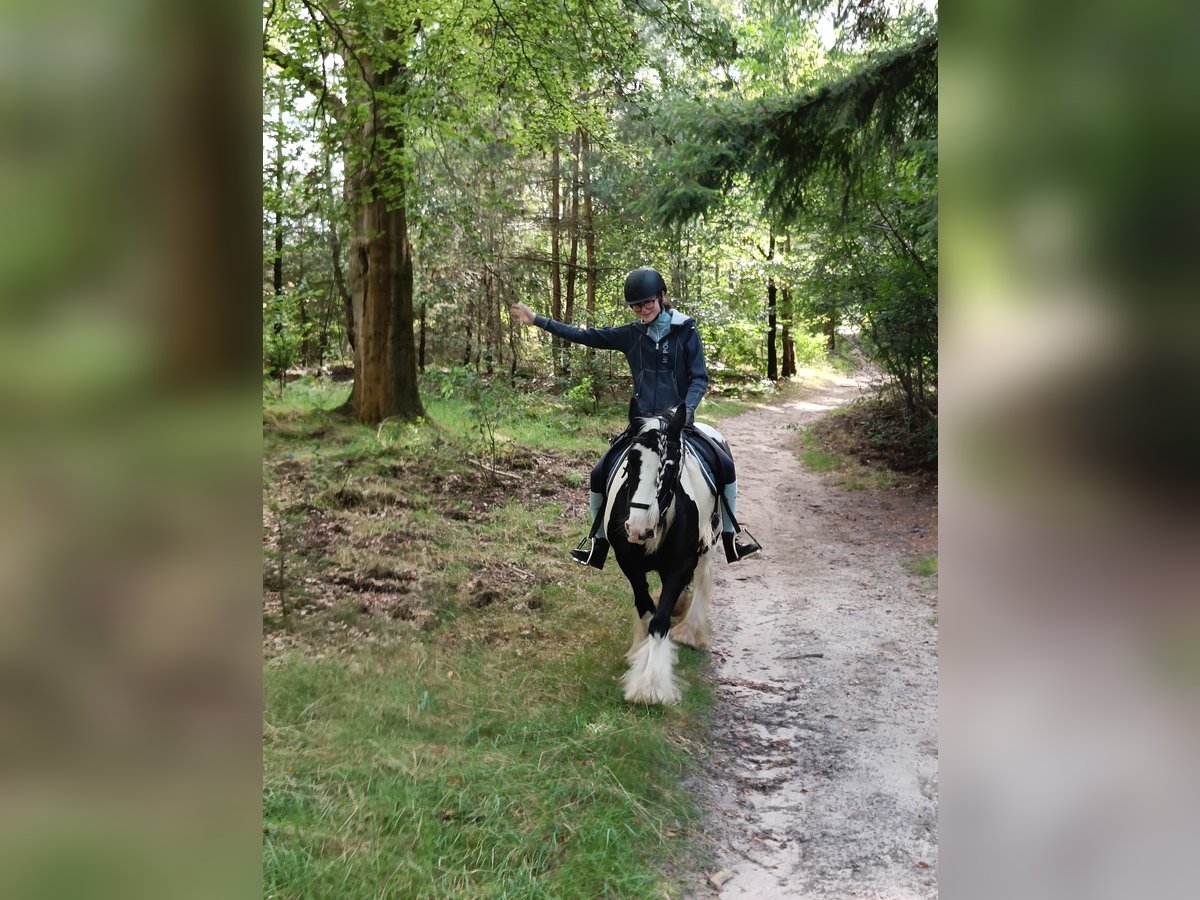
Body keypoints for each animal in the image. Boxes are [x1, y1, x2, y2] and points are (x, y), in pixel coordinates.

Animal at [604, 405, 715, 710]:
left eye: (671, 466)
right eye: (631, 461)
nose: (638, 529)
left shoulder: (680, 566)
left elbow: (660, 621)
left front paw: (650, 686)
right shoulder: (628, 564)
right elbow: (645, 607)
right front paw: (637, 655)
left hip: (708, 543)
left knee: (703, 577)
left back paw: (691, 632)